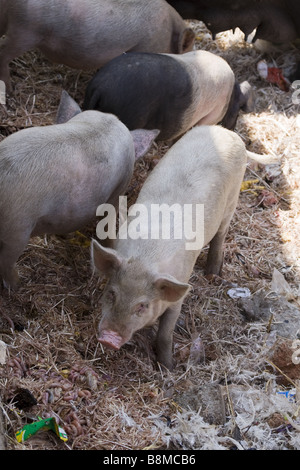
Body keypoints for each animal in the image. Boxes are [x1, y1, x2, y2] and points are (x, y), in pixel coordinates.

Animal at [90, 126, 250, 370]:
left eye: (142, 306)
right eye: (111, 293)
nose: (109, 338)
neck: (144, 259)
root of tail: (228, 132)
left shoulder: (178, 296)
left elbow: (166, 334)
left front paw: (167, 367)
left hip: (232, 200)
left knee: (220, 236)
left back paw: (212, 273)